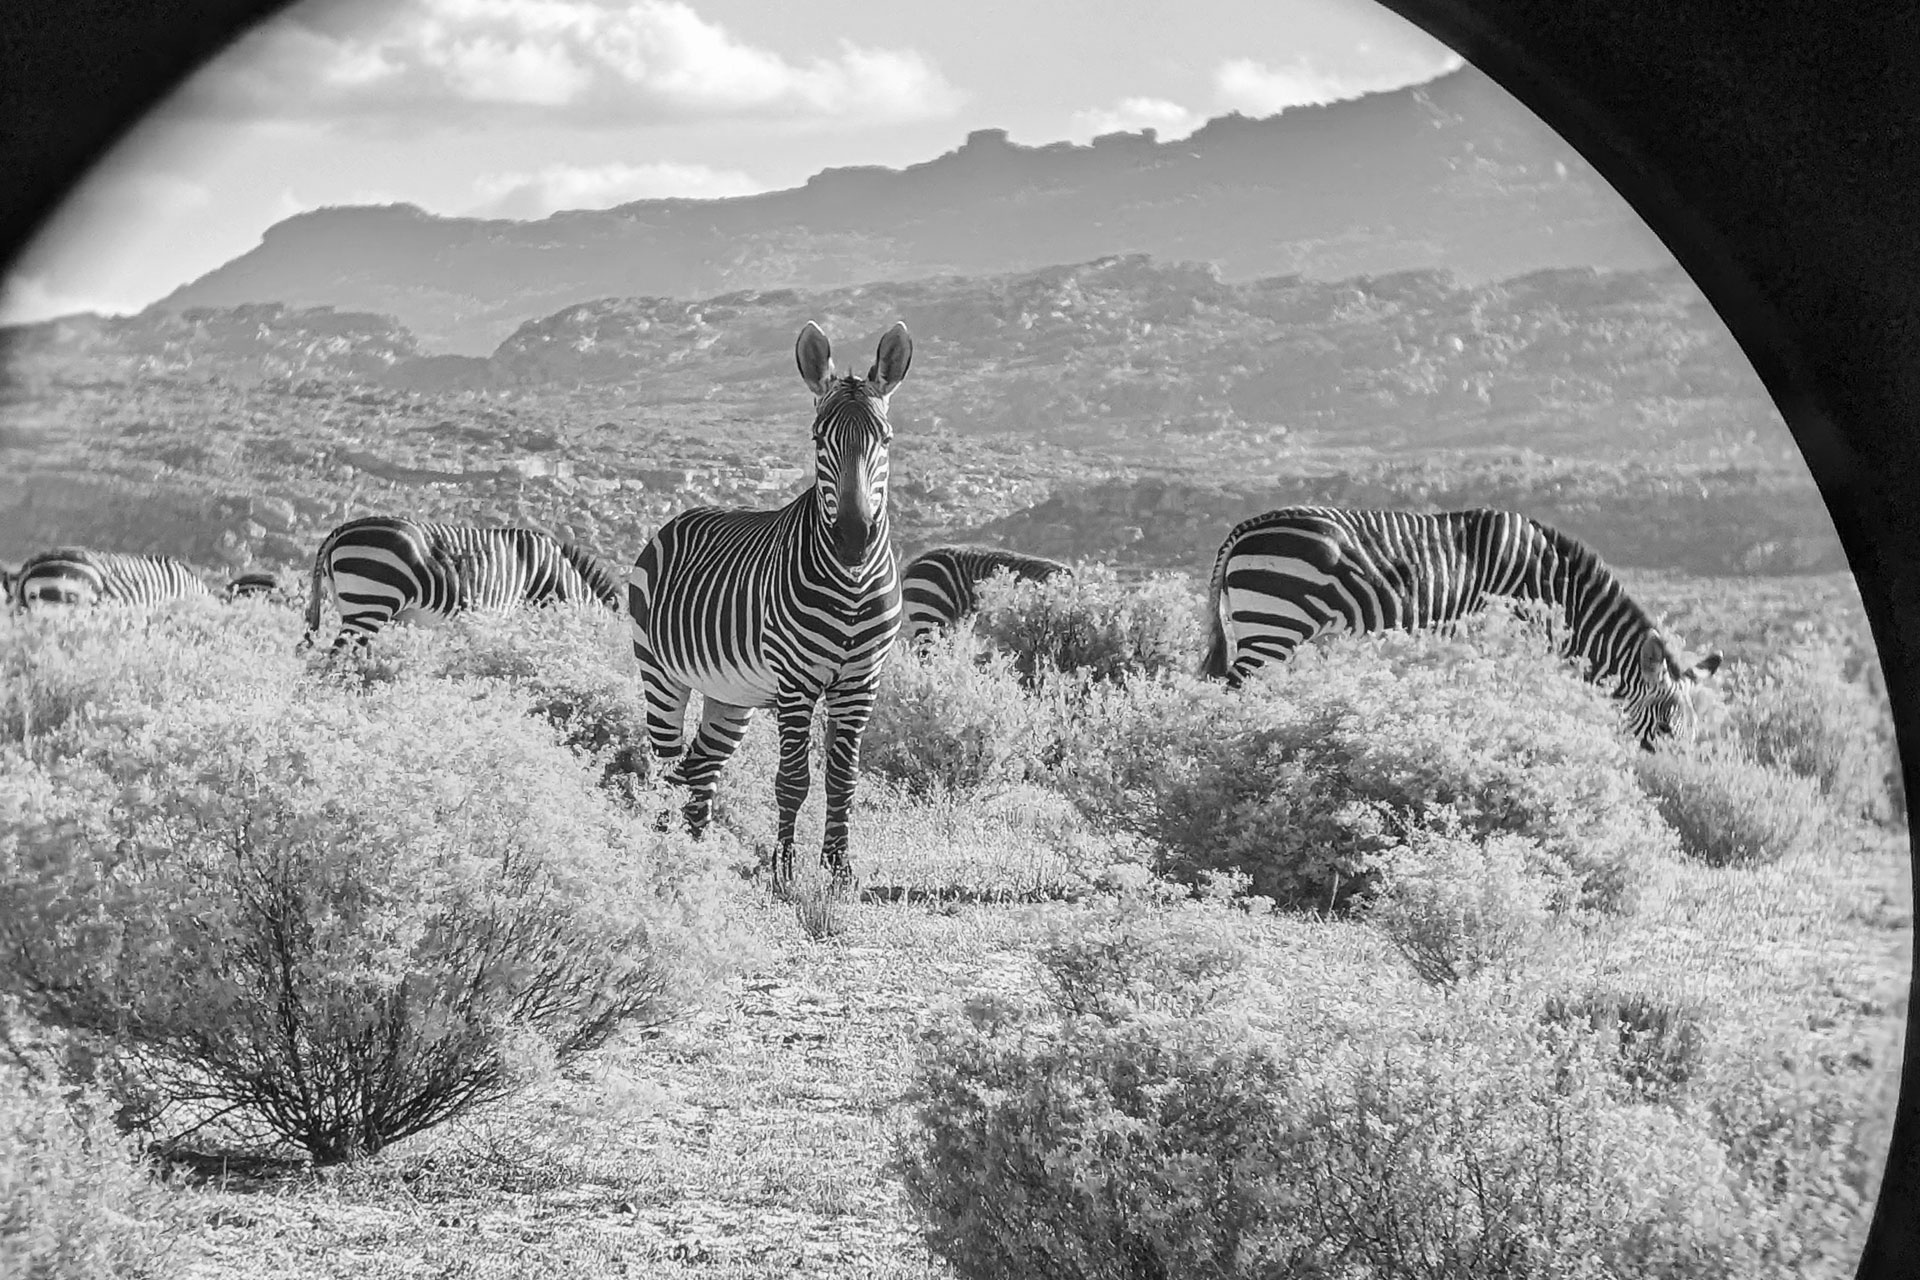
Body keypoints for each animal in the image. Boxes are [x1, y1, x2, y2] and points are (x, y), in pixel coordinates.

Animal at [622, 320, 906, 886]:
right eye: (819, 439)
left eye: (884, 439)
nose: (853, 538)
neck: (852, 583)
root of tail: (679, 517)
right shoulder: (796, 683)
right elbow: (792, 779)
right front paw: (786, 870)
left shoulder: (861, 683)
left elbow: (844, 779)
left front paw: (839, 871)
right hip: (661, 675)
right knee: (665, 765)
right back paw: (667, 852)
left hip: (730, 695)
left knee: (700, 767)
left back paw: (699, 857)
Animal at [1198, 506, 1728, 752]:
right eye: (1665, 726)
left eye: (1694, 732)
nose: (1673, 785)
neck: (1555, 588)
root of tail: (1246, 527)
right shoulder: (1505, 642)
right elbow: (1503, 702)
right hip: (1275, 624)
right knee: (1231, 690)